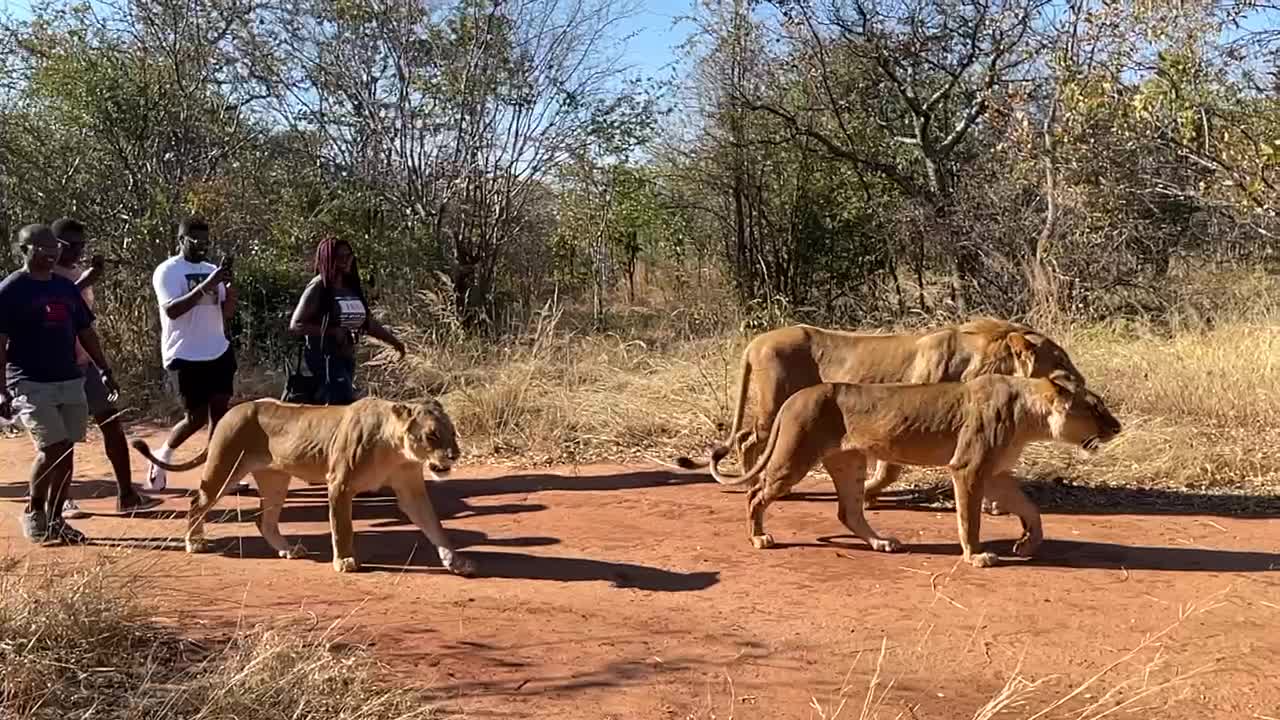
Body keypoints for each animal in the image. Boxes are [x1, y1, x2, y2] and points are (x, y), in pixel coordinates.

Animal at [129, 394, 476, 573]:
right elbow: (342, 527)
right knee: (197, 502)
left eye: (453, 433)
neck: (396, 449)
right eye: (432, 435)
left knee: (263, 520)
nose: (454, 455)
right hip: (224, 468)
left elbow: (434, 524)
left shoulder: (410, 489)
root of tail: (233, 409)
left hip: (275, 480)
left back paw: (288, 550)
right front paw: (345, 561)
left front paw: (455, 560)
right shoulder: (339, 484)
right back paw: (194, 543)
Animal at [675, 316, 1085, 507]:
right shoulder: (905, 417)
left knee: (746, 438)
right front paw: (869, 494)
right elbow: (890, 469)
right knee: (747, 439)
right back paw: (752, 483)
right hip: (774, 403)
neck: (983, 358)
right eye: (1061, 360)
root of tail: (756, 341)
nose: (1081, 381)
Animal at [711, 368, 1121, 566]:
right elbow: (969, 519)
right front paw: (976, 557)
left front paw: (1026, 544)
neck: (1030, 417)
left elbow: (1031, 510)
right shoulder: (968, 467)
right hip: (794, 459)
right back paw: (759, 537)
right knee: (755, 492)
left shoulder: (996, 472)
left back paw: (881, 543)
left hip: (849, 463)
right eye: (1096, 409)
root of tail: (796, 395)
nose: (1118, 427)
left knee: (848, 511)